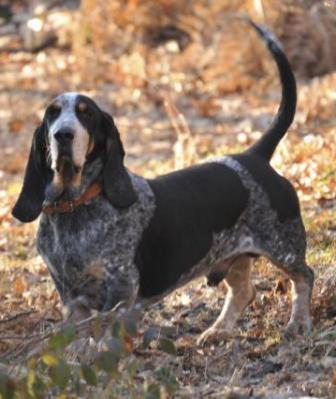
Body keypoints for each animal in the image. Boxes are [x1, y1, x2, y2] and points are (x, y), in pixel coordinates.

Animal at [11, 21, 314, 346]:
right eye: (52, 114)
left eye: (86, 114)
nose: (63, 135)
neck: (75, 206)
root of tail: (254, 156)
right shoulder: (70, 297)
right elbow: (81, 337)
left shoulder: (120, 288)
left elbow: (106, 337)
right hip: (235, 255)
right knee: (244, 290)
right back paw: (219, 330)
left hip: (283, 248)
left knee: (304, 276)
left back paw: (298, 323)